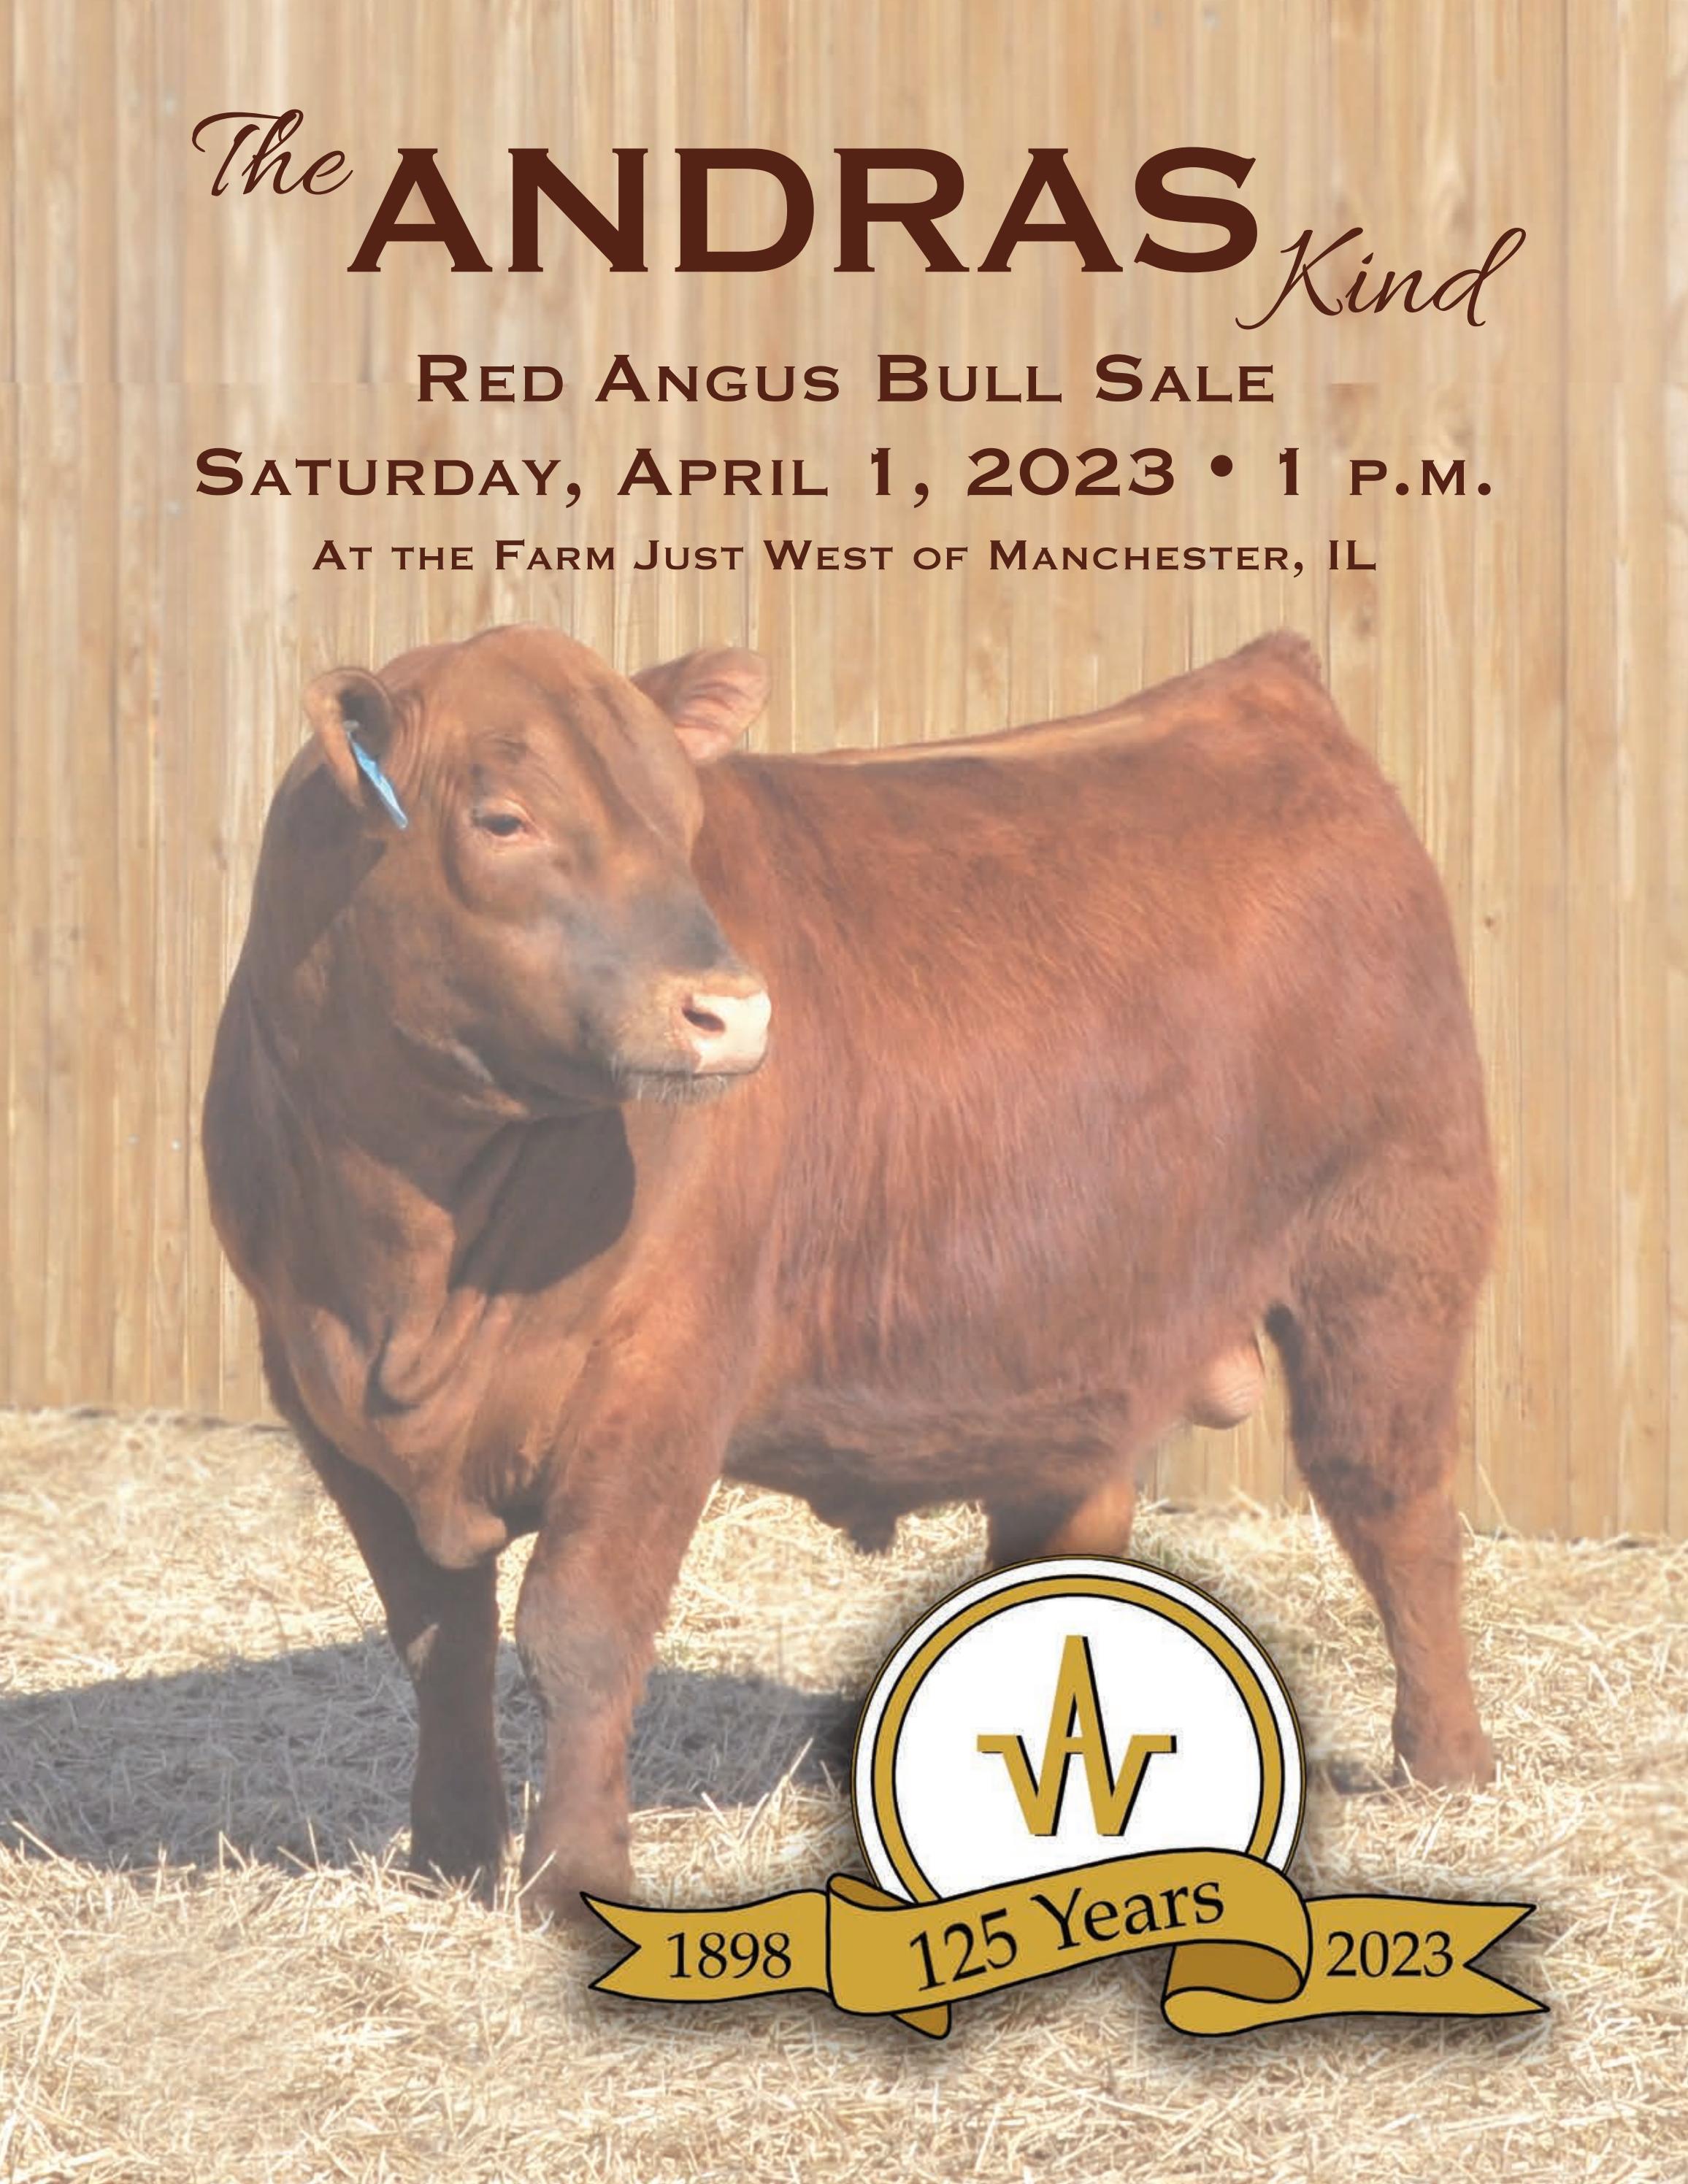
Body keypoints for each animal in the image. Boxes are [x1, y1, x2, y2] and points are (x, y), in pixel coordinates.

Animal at [202, 625, 1497, 1924]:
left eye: (681, 819)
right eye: (503, 817)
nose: (730, 1011)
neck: (410, 1264)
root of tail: (1261, 686)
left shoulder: (662, 1376)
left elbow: (581, 1629)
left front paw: (574, 1882)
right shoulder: (311, 1385)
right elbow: (438, 1636)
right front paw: (449, 1856)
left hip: (1386, 1259)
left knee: (1395, 1504)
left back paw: (1447, 1765)